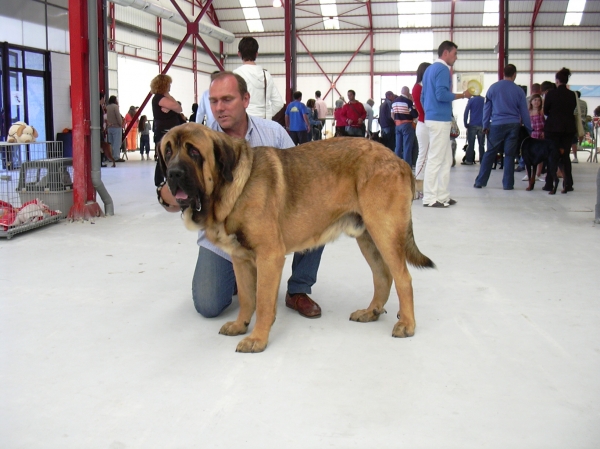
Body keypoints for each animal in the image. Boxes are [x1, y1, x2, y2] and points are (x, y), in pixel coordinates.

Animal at [159, 123, 432, 354]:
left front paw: (257, 338)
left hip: (383, 231)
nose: (172, 175)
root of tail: (398, 159)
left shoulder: (269, 257)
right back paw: (370, 311)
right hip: (367, 237)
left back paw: (407, 324)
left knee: (403, 278)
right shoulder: (241, 260)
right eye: (168, 150)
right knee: (383, 275)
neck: (230, 188)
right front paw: (240, 325)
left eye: (194, 151)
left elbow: (263, 302)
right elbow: (247, 298)